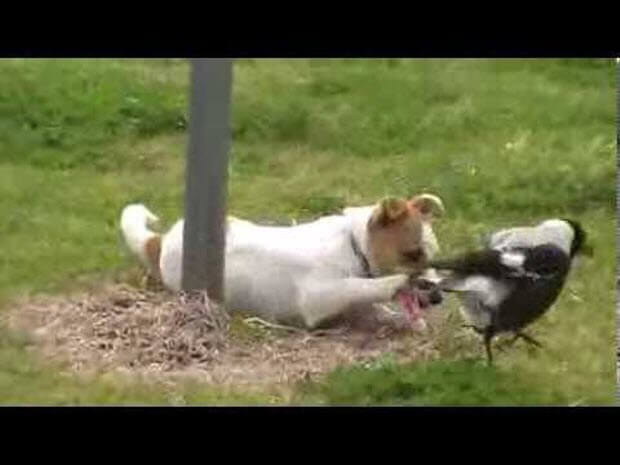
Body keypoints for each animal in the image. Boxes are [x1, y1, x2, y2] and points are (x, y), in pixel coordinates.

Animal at [118, 194, 444, 328]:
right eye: (413, 253)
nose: (438, 297)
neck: (352, 244)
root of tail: (162, 242)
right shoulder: (319, 296)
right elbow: (363, 287)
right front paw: (400, 283)